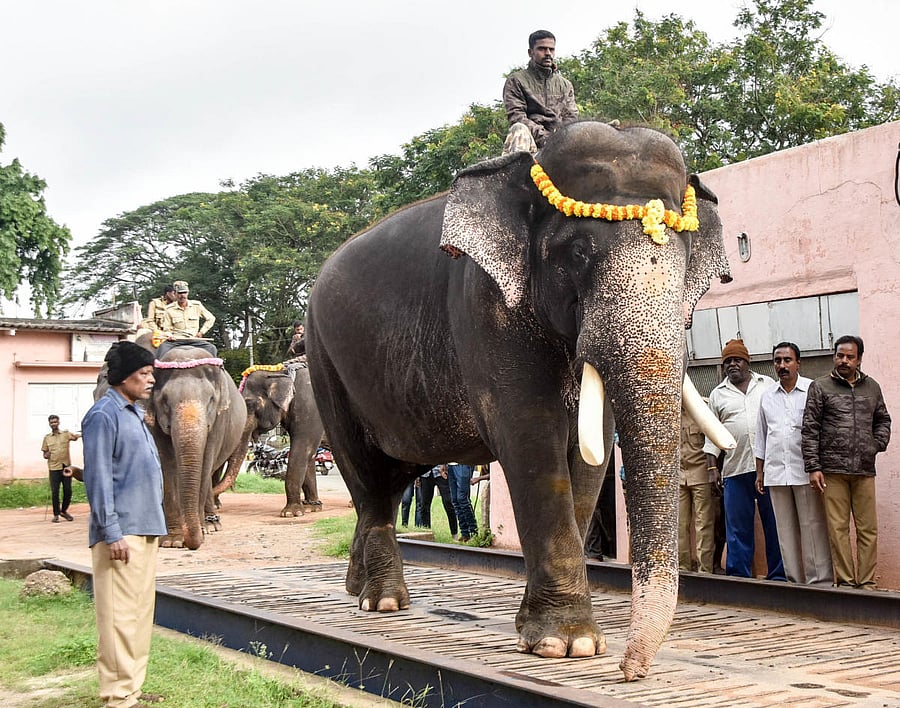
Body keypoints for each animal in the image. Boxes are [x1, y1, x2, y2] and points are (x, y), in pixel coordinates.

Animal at [213, 360, 325, 517]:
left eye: (250, 405)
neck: (281, 372)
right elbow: (310, 455)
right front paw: (311, 508)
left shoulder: (310, 408)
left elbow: (302, 450)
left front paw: (290, 513)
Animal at [305, 120, 734, 680]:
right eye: (578, 253)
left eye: (686, 267)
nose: (631, 670)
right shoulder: (484, 306)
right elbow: (531, 437)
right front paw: (566, 644)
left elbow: (590, 454)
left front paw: (539, 630)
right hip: (324, 360)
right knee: (367, 473)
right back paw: (382, 602)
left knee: (395, 476)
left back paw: (356, 587)